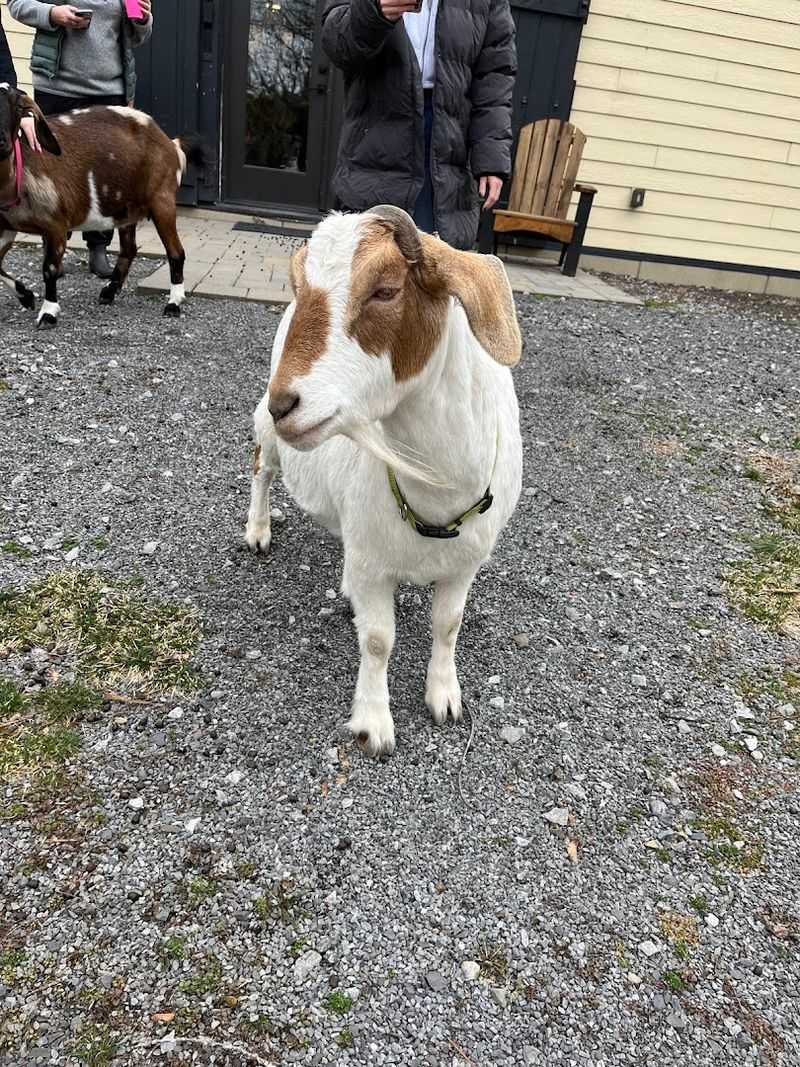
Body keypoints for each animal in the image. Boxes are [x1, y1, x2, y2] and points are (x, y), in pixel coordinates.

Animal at [0, 85, 202, 327]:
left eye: (16, 106)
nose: (1, 141)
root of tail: (171, 143)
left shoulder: (56, 225)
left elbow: (49, 269)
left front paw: (48, 313)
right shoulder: (6, 227)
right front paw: (26, 297)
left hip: (162, 200)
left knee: (176, 252)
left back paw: (173, 303)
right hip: (127, 209)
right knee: (129, 249)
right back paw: (109, 292)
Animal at [245, 206, 523, 757]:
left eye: (386, 290)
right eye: (298, 286)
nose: (285, 403)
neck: (436, 494)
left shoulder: (464, 565)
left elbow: (448, 624)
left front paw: (444, 695)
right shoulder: (374, 567)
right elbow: (378, 640)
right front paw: (373, 722)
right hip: (269, 438)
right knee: (261, 469)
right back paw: (258, 529)